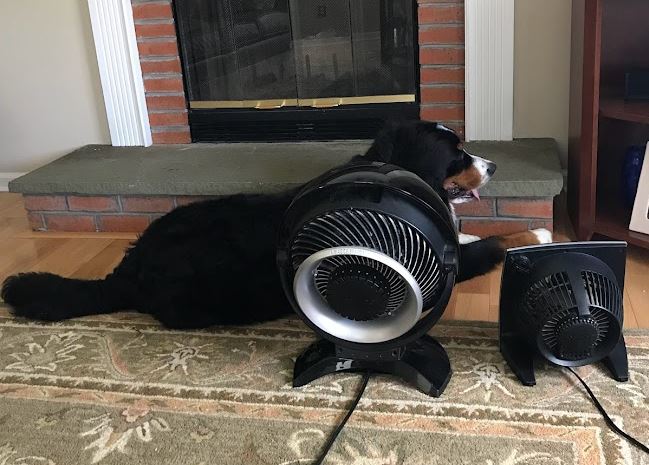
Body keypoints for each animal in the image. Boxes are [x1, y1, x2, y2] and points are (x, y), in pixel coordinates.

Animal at [2, 120, 548, 330]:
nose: (494, 165)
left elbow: (471, 232)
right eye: (456, 153)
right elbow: (496, 241)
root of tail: (128, 269)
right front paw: (538, 235)